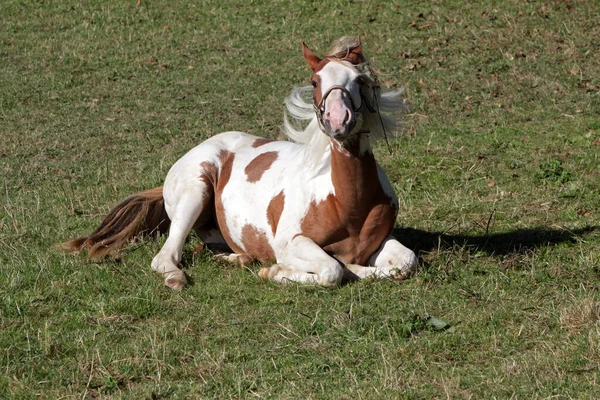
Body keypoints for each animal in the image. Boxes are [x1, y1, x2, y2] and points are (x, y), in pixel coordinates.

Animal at [59, 36, 418, 288]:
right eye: (315, 81)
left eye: (359, 80)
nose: (337, 120)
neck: (346, 202)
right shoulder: (290, 242)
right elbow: (332, 269)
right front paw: (276, 271)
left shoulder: (382, 240)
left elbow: (406, 262)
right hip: (194, 194)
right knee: (165, 257)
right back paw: (179, 277)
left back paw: (237, 260)